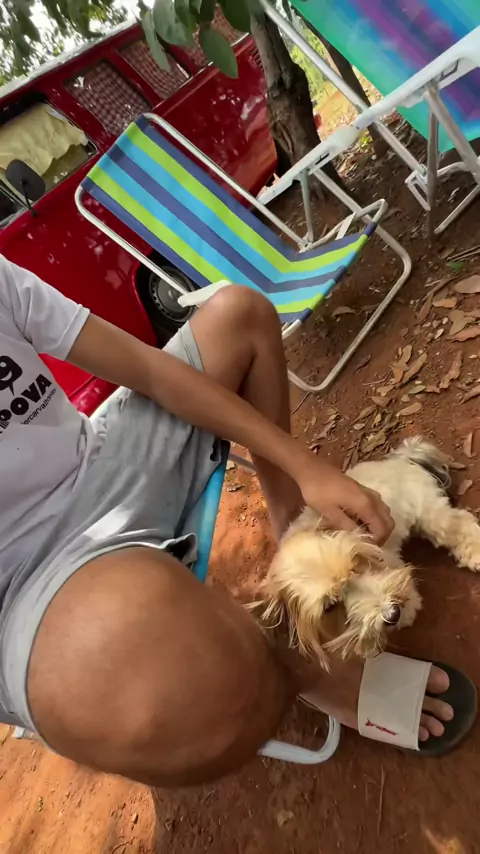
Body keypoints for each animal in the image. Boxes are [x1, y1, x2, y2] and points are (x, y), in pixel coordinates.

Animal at [257, 438, 480, 667]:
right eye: (330, 607)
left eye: (356, 565)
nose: (392, 614)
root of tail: (403, 458)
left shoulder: (387, 559)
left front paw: (408, 609)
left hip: (428, 511)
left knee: (458, 525)